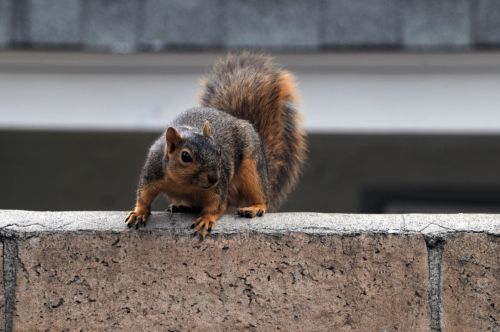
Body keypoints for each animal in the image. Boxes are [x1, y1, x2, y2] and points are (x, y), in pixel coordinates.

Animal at [126, 52, 304, 239]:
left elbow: (216, 206)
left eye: (219, 152)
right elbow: (144, 195)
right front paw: (139, 212)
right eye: (185, 156)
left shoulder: (219, 188)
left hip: (252, 169)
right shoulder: (153, 172)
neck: (185, 184)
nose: (213, 178)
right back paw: (182, 206)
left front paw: (206, 219)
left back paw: (255, 207)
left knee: (260, 195)